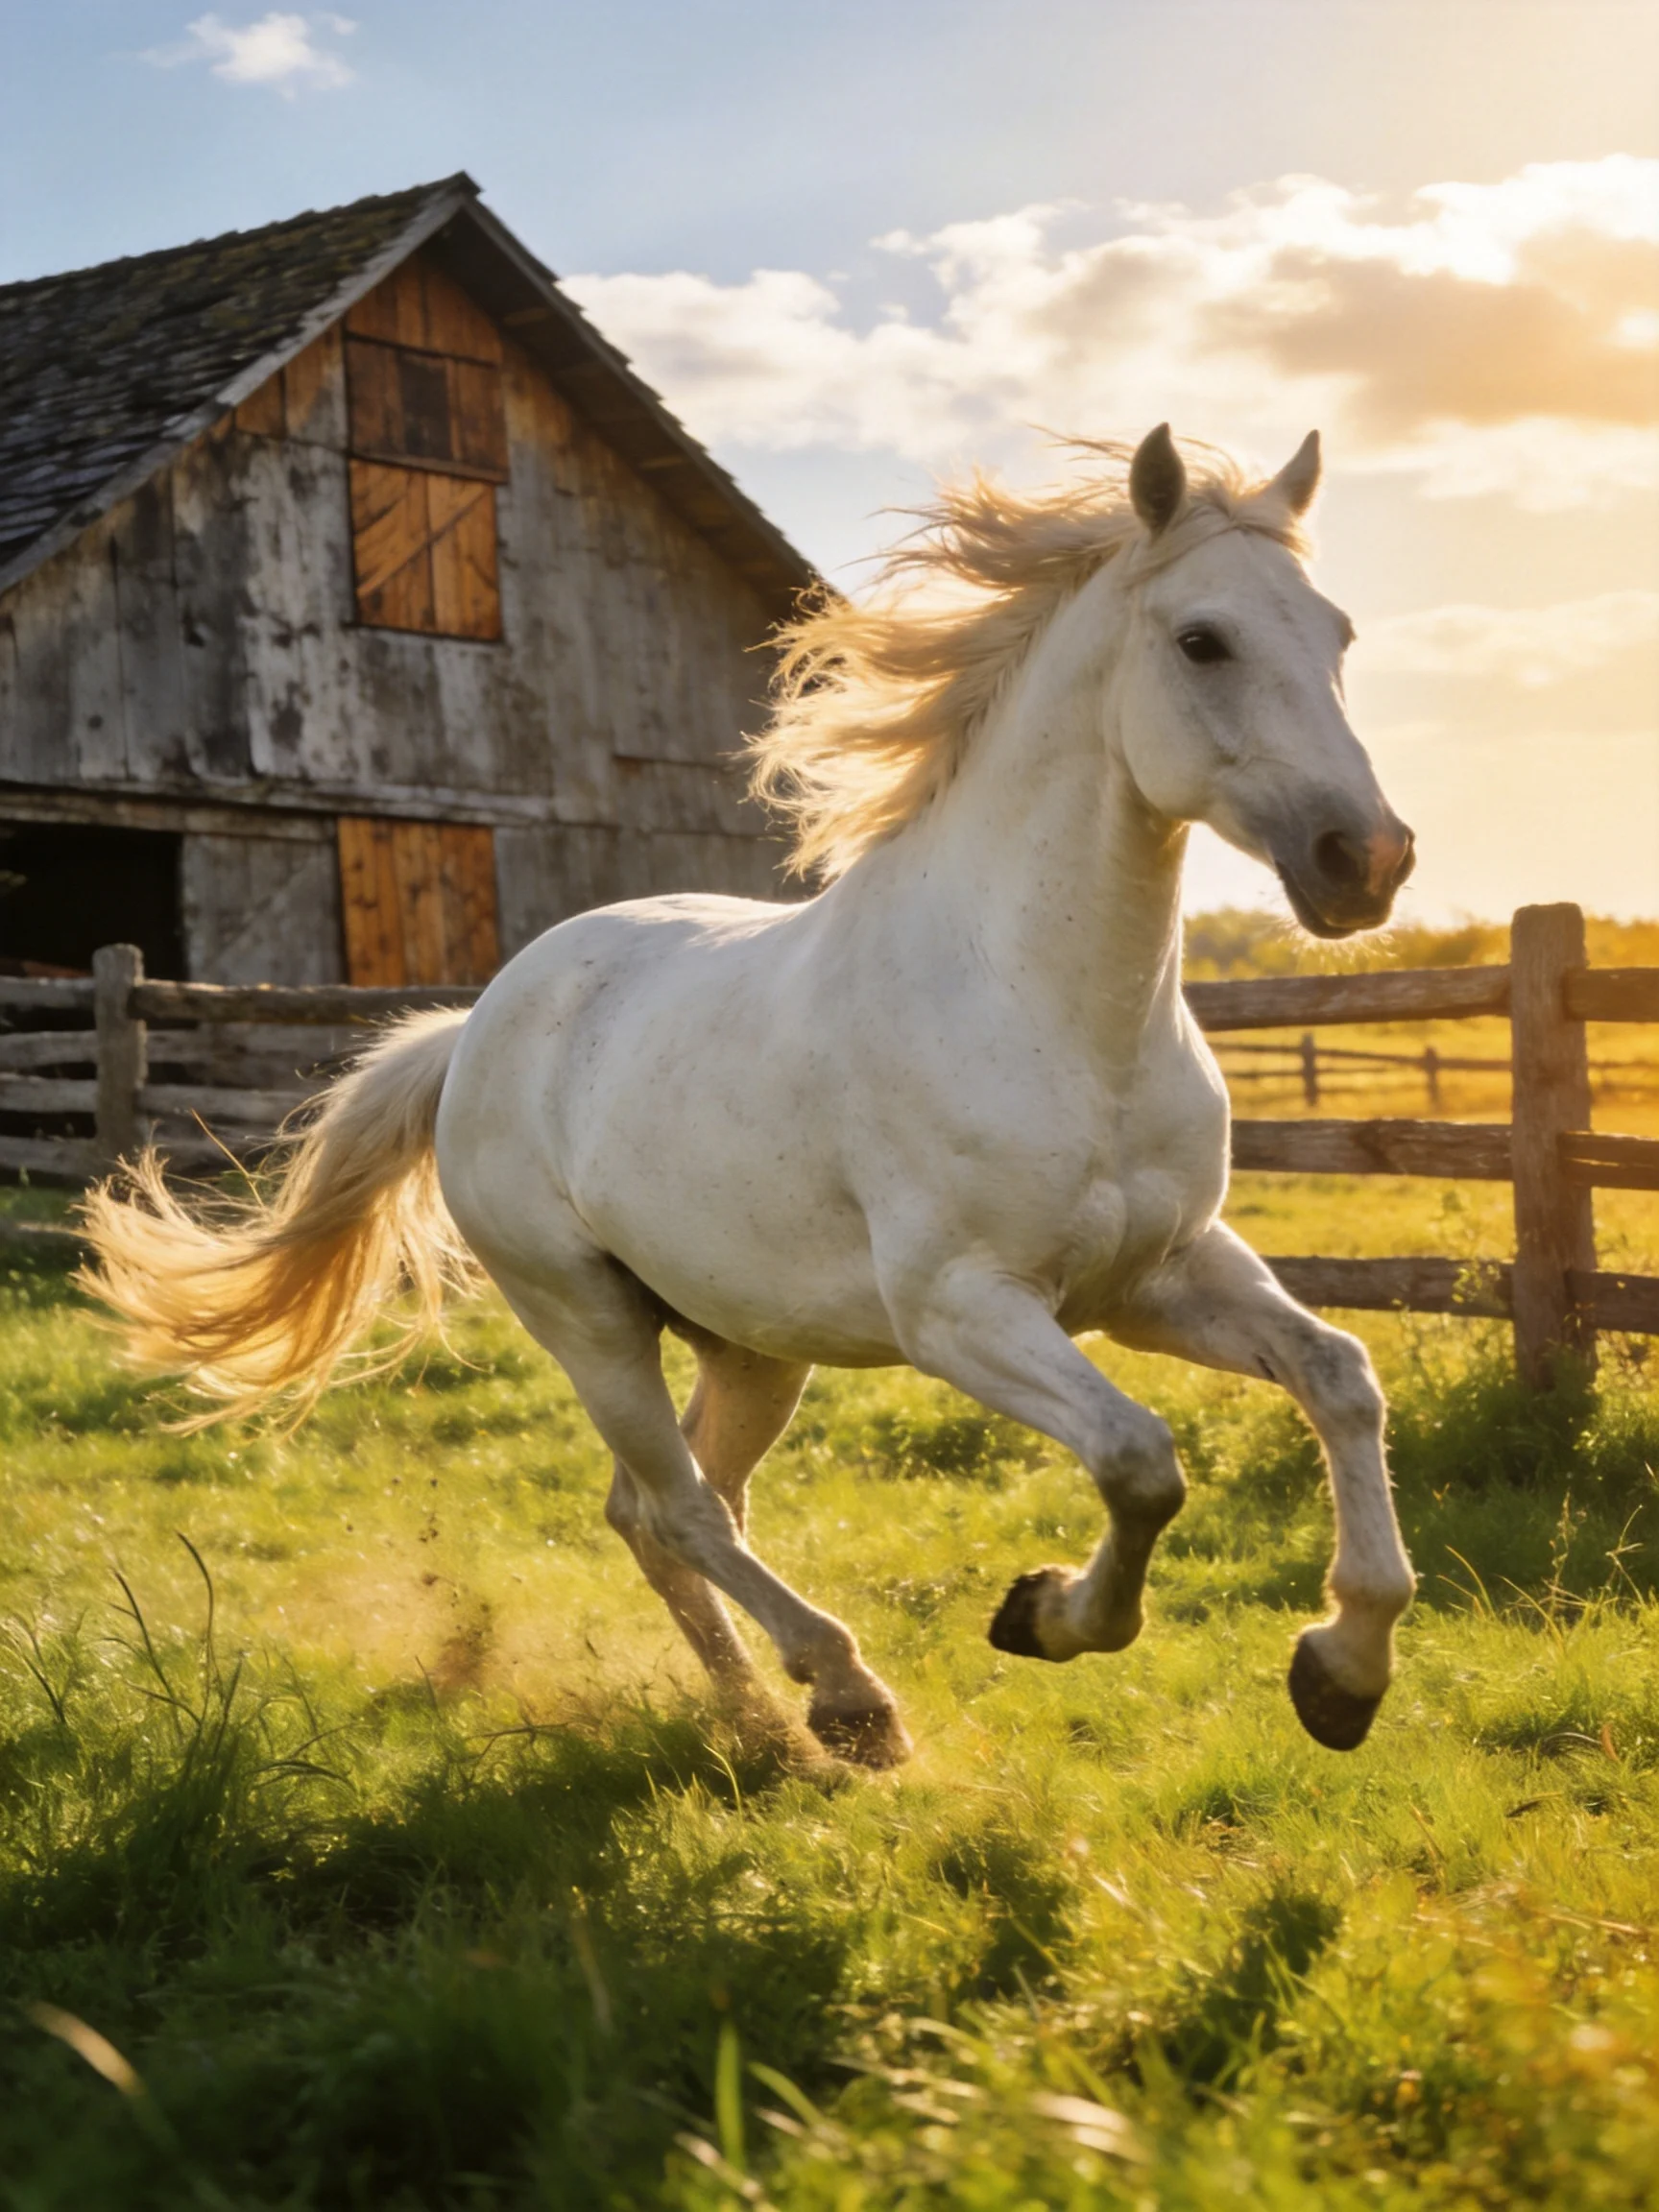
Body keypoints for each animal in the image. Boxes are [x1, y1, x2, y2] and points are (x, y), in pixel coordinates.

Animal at [84, 424, 1419, 1768]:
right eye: (1203, 640)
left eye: (1341, 635)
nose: (1367, 860)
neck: (1048, 1010)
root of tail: (475, 1030)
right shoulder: (962, 1309)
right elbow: (1142, 1460)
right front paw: (1044, 1615)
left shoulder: (1157, 1277)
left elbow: (1340, 1376)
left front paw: (1342, 1674)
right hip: (586, 1320)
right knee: (680, 1511)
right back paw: (846, 1702)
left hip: (749, 1342)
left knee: (663, 1509)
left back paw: (763, 1726)